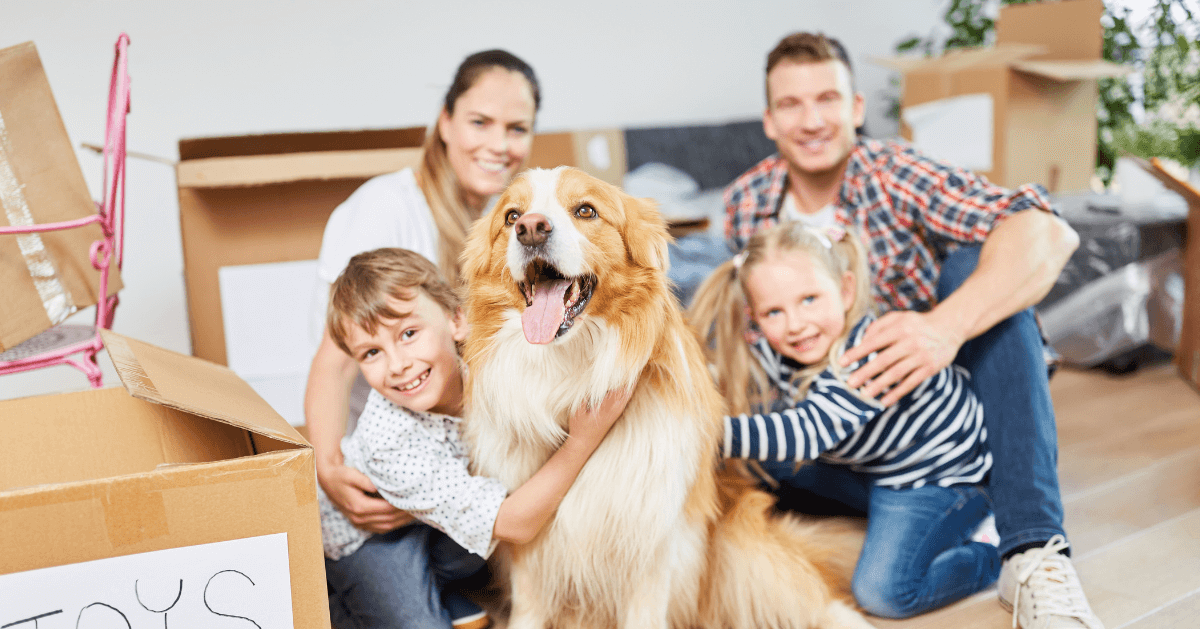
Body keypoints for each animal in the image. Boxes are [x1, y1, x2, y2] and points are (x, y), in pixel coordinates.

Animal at [458, 166, 873, 629]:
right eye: (512, 217)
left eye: (586, 211)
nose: (531, 229)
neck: (568, 377)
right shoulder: (530, 550)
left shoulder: (649, 546)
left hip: (742, 552)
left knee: (813, 600)